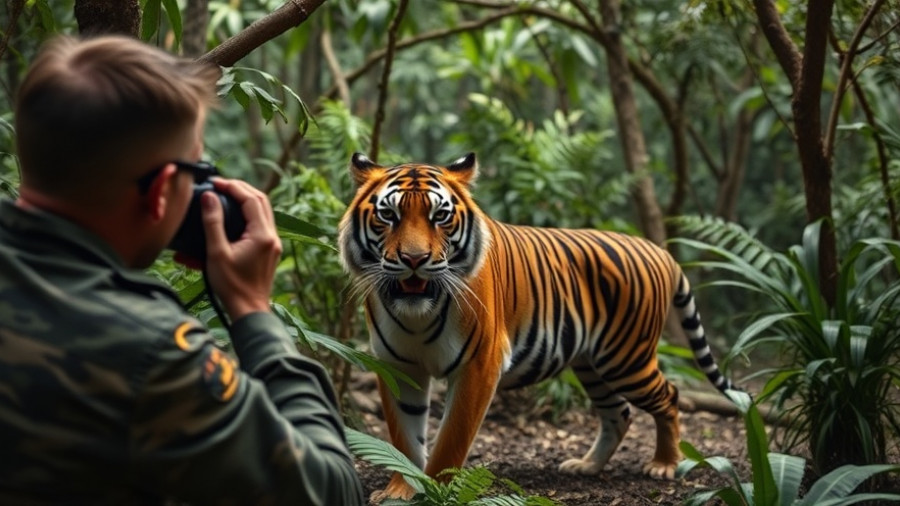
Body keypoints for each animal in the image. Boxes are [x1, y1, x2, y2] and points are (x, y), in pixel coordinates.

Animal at [338, 152, 735, 502]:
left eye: (440, 216)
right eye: (388, 215)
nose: (414, 259)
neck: (416, 315)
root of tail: (659, 250)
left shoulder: (479, 365)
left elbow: (451, 439)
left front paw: (433, 490)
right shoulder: (397, 366)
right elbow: (403, 438)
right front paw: (401, 489)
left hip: (626, 358)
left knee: (669, 395)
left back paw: (664, 464)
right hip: (592, 365)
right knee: (618, 413)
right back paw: (587, 466)